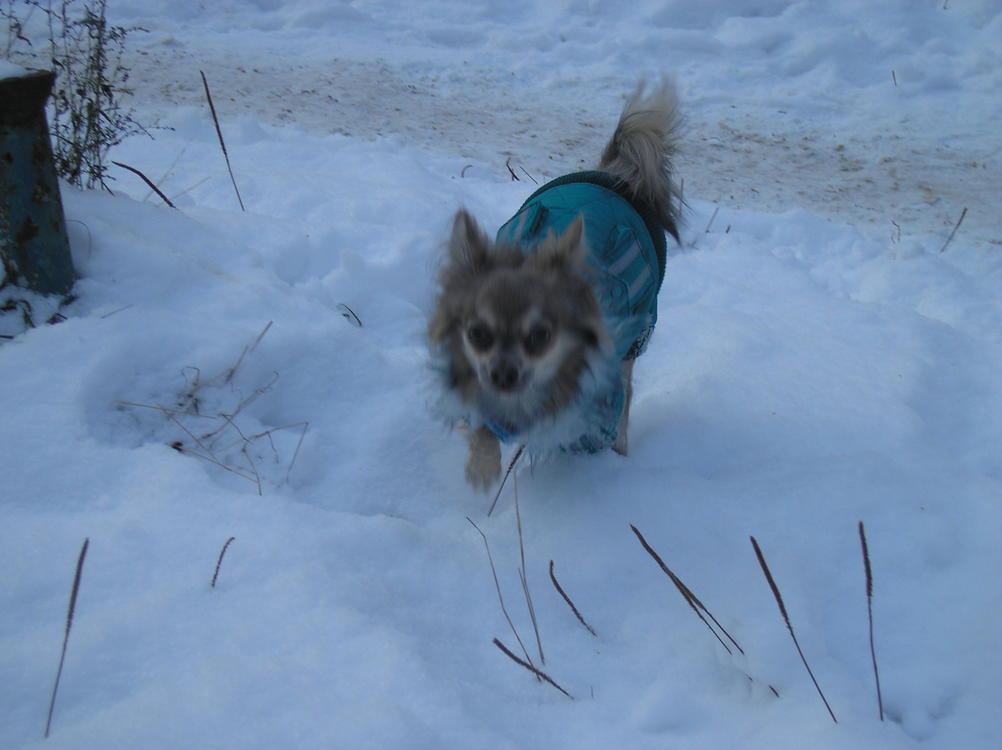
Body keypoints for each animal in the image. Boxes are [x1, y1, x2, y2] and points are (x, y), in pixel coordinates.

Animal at [429, 78, 682, 489]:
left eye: (540, 337)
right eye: (477, 334)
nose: (502, 373)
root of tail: (617, 177)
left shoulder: (596, 401)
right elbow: (482, 424)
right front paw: (482, 467)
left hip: (637, 335)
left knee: (627, 395)